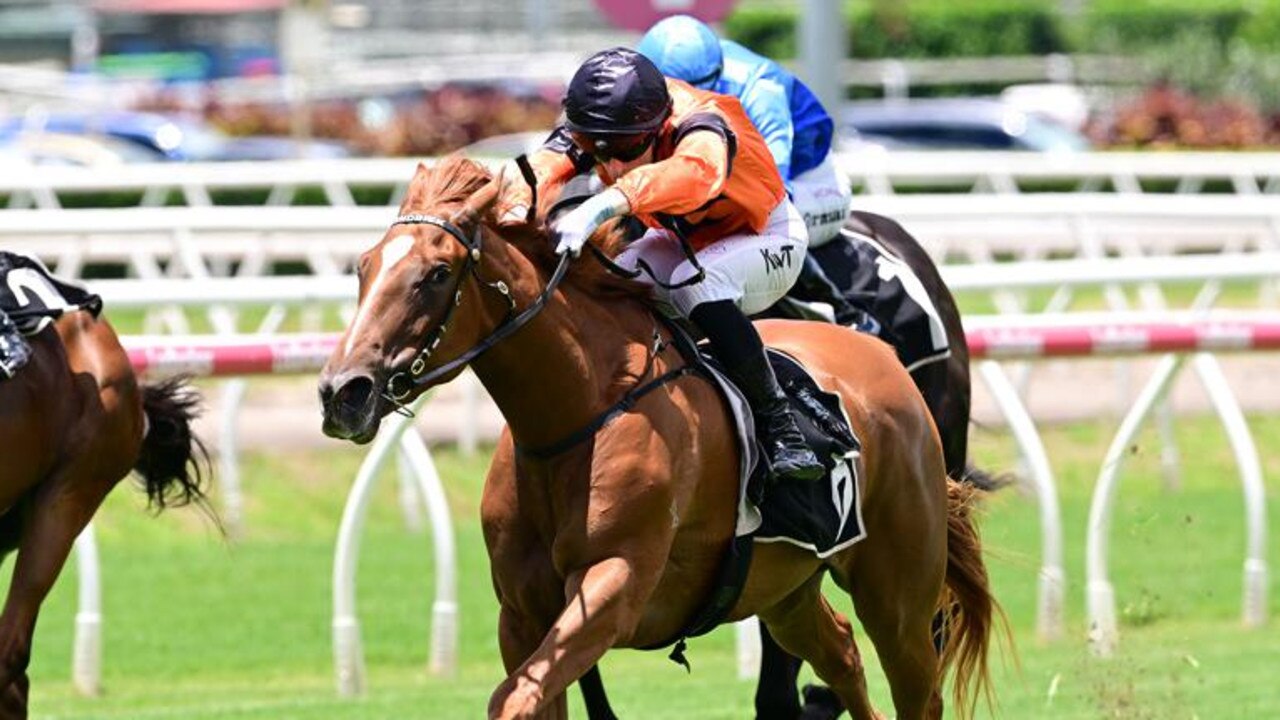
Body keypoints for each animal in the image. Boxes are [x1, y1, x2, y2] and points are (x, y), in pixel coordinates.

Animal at [320, 158, 998, 717]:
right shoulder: (522, 614)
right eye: (364, 266)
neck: (577, 416)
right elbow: (531, 695)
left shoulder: (615, 587)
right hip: (787, 589)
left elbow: (514, 700)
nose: (342, 391)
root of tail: (884, 361)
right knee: (842, 654)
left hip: (898, 588)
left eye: (436, 274)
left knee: (918, 682)